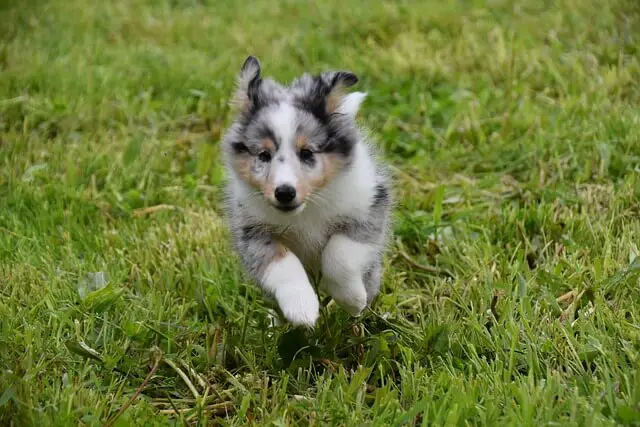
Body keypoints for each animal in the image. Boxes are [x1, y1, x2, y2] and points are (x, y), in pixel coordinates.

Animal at [221, 54, 390, 328]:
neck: (306, 210)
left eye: (307, 153)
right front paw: (302, 309)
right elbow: (283, 264)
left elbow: (339, 255)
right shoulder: (253, 232)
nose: (284, 193)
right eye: (264, 155)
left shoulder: (367, 211)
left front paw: (352, 299)